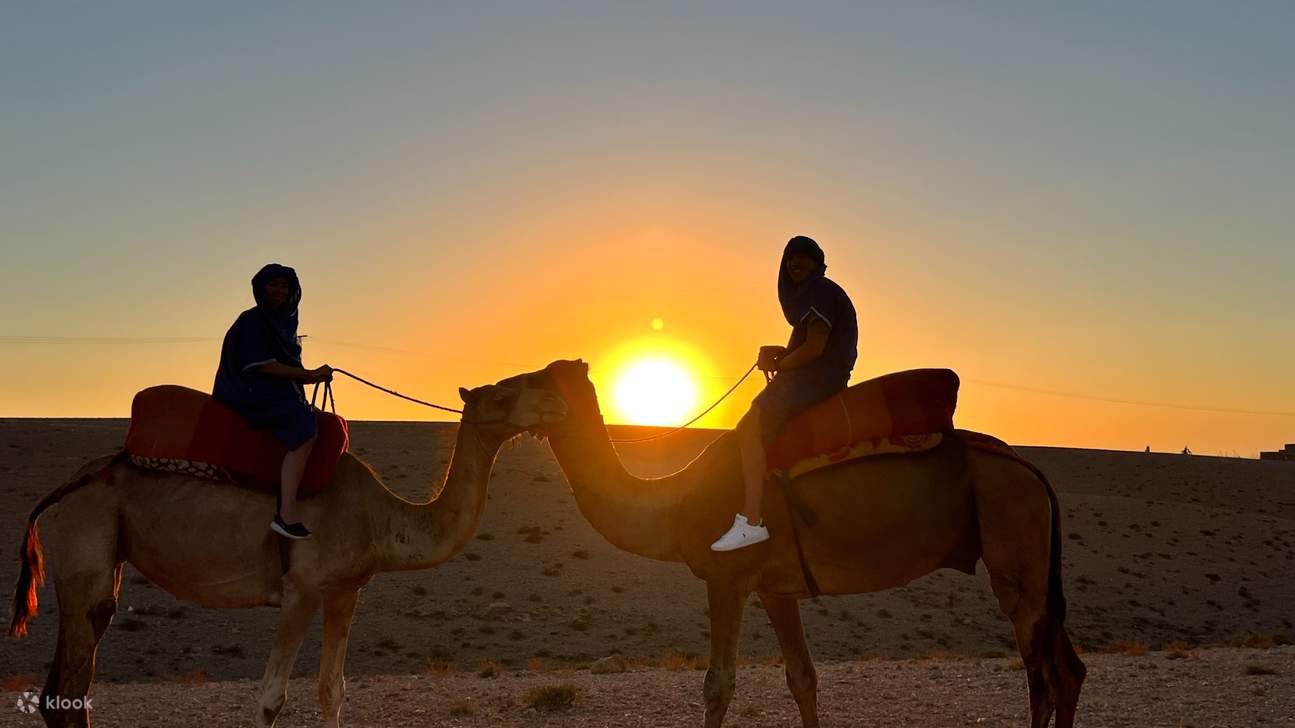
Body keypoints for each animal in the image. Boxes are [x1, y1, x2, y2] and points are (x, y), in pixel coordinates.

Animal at [7, 381, 567, 728]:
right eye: (506, 392)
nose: (556, 403)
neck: (380, 517)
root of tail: (72, 483)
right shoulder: (300, 590)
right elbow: (270, 699)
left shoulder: (344, 592)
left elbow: (332, 689)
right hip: (88, 540)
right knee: (70, 684)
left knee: (68, 687)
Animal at [501, 360, 1086, 728]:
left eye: (530, 381)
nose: (485, 393)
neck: (673, 500)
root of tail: (1028, 467)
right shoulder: (775, 589)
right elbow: (802, 678)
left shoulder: (727, 578)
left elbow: (718, 684)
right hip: (1034, 562)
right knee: (1069, 669)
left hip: (1014, 540)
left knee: (1041, 675)